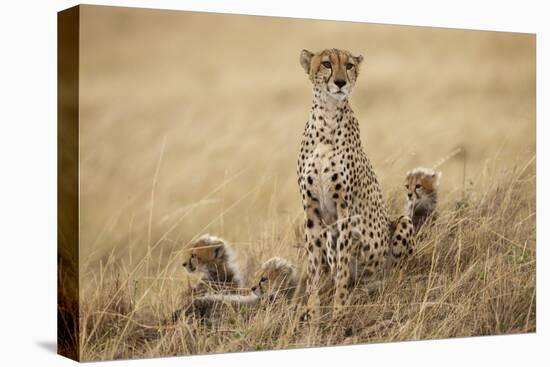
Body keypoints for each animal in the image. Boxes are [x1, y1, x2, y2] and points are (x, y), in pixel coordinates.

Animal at [300, 49, 416, 322]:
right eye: (326, 64)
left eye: (349, 65)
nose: (341, 82)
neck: (328, 118)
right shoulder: (311, 210)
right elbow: (314, 269)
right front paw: (313, 313)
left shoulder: (345, 210)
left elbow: (342, 268)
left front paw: (339, 312)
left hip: (401, 226)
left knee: (396, 272)